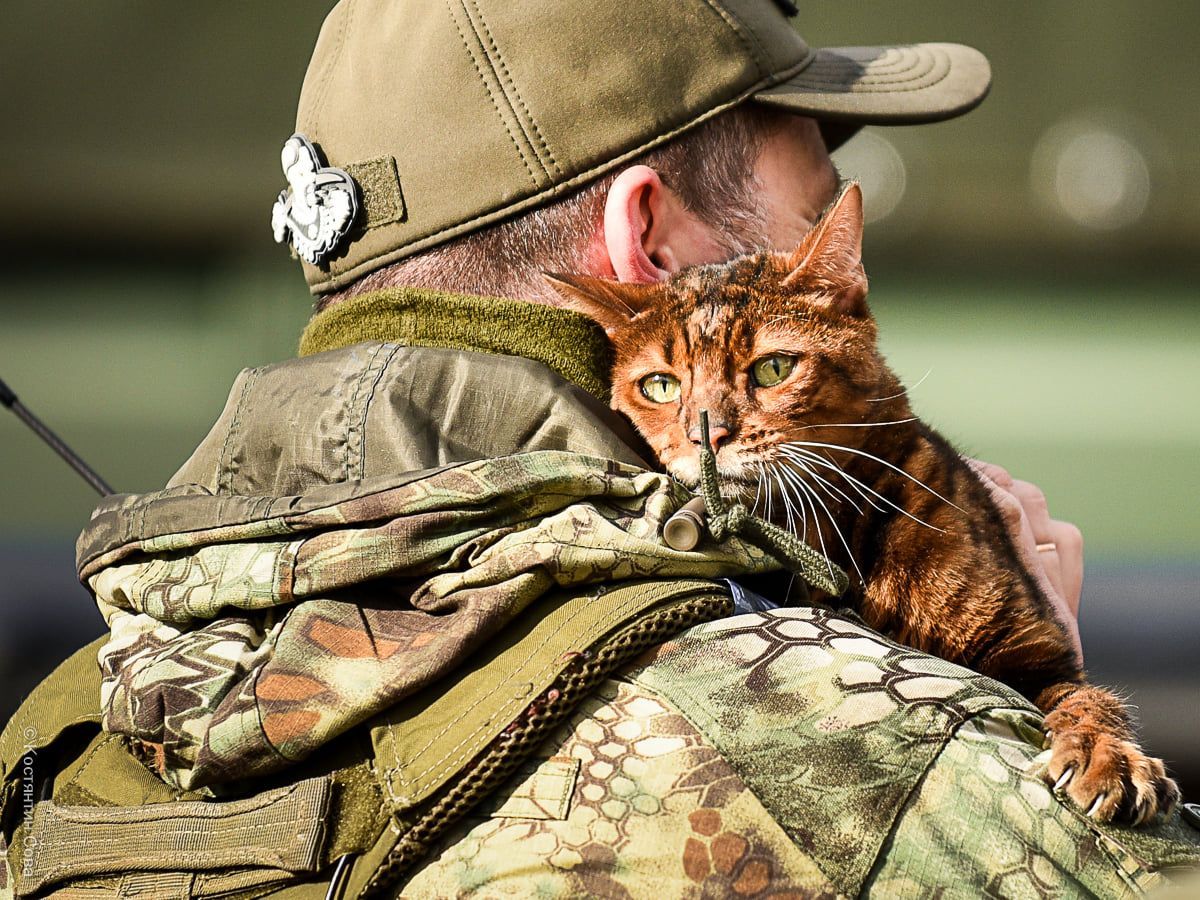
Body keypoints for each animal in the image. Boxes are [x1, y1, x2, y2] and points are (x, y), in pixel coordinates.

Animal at [549, 181, 1180, 825]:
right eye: (660, 386)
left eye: (773, 368)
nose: (708, 434)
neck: (832, 534)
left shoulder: (1034, 650)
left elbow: (1086, 697)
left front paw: (1106, 753)